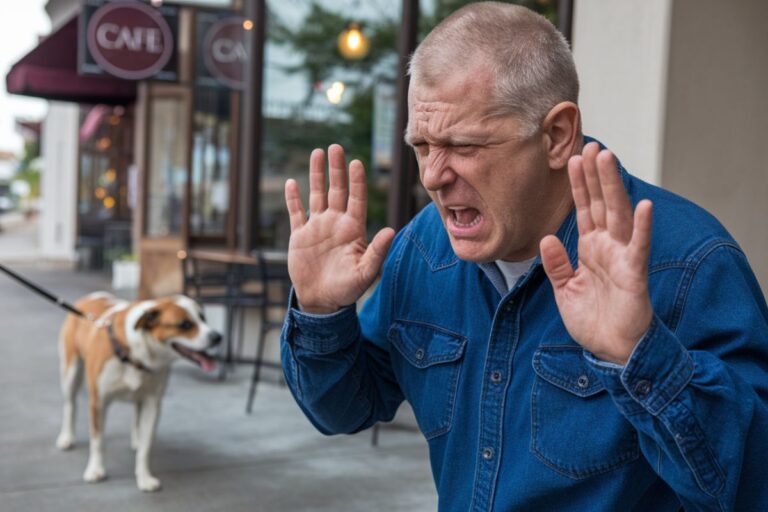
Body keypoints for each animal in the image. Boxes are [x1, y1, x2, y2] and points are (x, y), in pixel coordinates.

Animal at [54, 292, 220, 492]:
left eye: (203, 318)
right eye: (185, 325)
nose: (218, 337)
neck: (134, 355)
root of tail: (91, 296)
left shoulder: (152, 403)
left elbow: (145, 446)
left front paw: (144, 477)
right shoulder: (98, 402)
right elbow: (97, 440)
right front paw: (95, 469)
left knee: (136, 412)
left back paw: (136, 438)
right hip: (70, 373)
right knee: (70, 404)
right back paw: (66, 437)